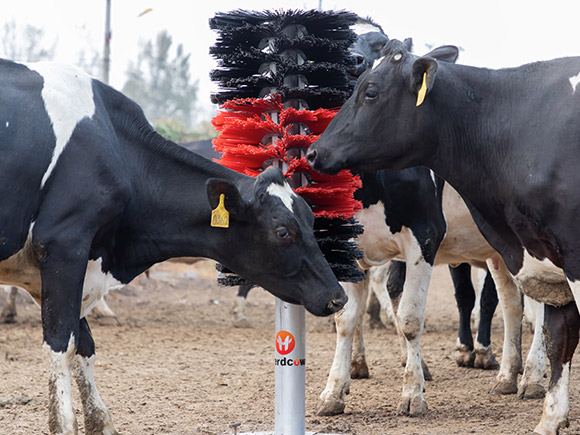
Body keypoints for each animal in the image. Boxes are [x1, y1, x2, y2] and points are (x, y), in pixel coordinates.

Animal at [0, 58, 346, 435]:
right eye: (283, 232)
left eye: (311, 219)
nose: (337, 296)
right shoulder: (64, 245)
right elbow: (61, 344)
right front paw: (64, 423)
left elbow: (84, 346)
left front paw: (100, 421)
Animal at [306, 38, 576, 435]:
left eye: (370, 92)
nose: (314, 152)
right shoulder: (352, 249)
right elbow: (346, 320)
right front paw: (334, 392)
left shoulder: (425, 238)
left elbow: (409, 318)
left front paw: (412, 394)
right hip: (504, 252)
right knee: (513, 305)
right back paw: (508, 375)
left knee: (535, 310)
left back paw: (530, 377)